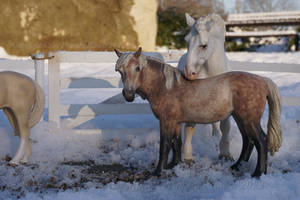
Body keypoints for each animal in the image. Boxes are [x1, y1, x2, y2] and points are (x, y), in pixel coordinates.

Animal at [114, 47, 282, 177]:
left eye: (137, 68)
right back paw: (237, 166)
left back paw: (258, 173)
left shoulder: (166, 121)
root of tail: (263, 81)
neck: (166, 87)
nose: (128, 95)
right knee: (248, 140)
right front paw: (174, 165)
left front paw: (158, 171)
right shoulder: (175, 122)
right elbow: (176, 142)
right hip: (241, 118)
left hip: (249, 119)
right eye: (119, 71)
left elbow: (165, 145)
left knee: (261, 141)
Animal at [177, 13, 233, 162]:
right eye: (187, 41)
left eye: (204, 45)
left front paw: (225, 153)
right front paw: (187, 156)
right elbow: (190, 127)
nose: (188, 73)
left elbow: (225, 126)